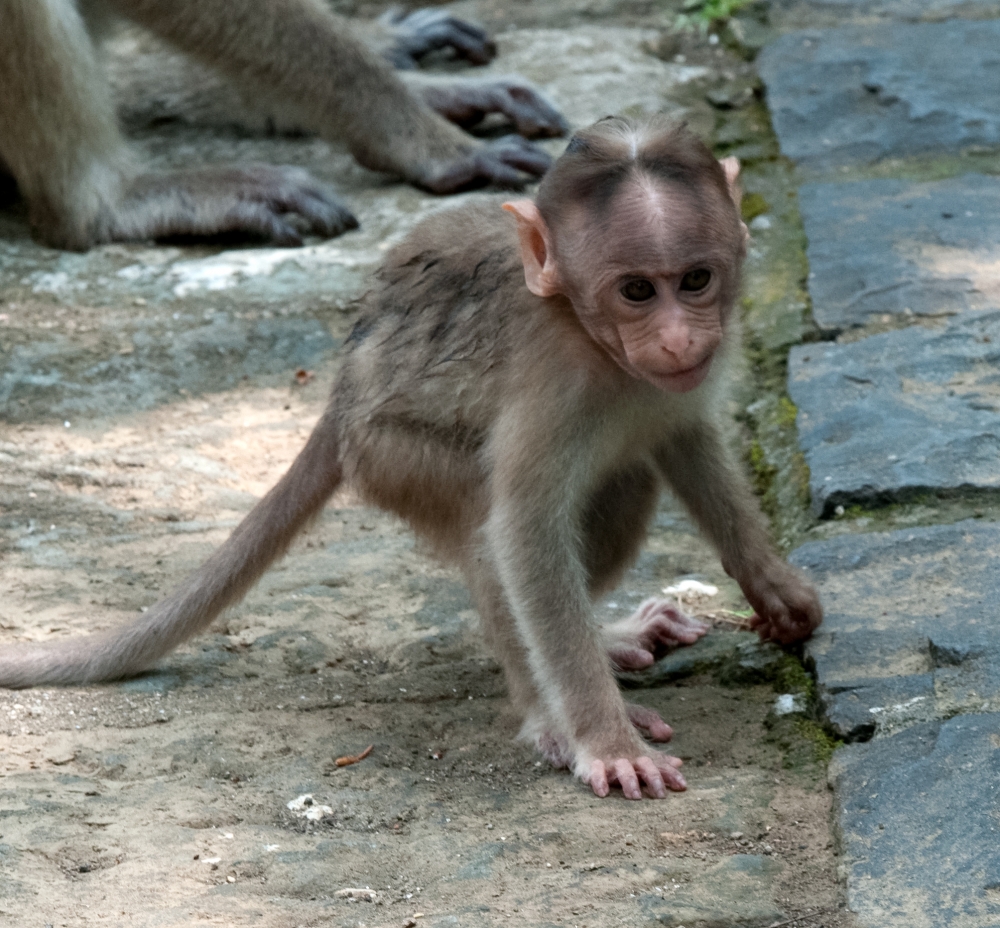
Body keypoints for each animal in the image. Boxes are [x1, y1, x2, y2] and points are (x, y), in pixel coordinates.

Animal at [1, 114, 820, 796]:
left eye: (695, 280)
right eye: (637, 292)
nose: (679, 341)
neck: (599, 346)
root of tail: (340, 397)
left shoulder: (688, 377)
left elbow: (684, 442)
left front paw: (774, 588)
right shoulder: (555, 385)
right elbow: (523, 536)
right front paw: (605, 741)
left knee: (622, 488)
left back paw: (610, 639)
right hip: (393, 455)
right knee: (493, 535)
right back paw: (549, 715)